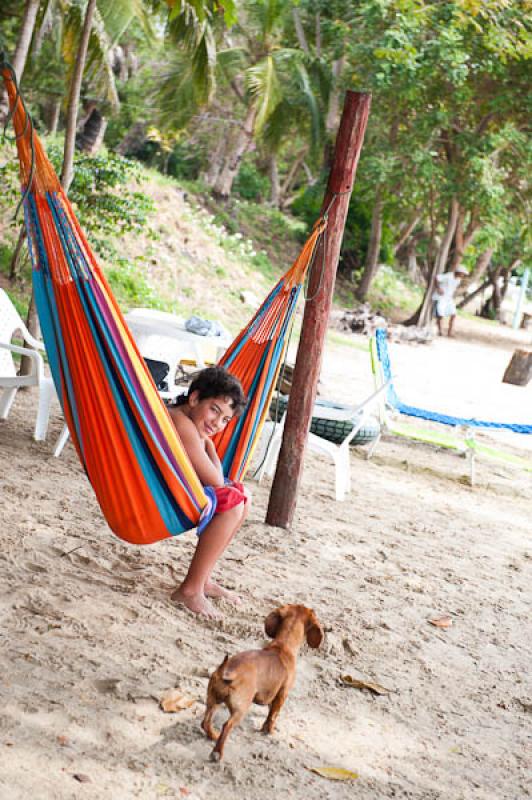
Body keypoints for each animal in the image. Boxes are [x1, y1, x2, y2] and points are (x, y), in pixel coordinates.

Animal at [201, 604, 322, 760]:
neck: (282, 645)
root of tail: (226, 671)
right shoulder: (282, 694)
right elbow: (272, 716)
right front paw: (268, 731)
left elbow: (270, 711)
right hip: (240, 708)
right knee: (226, 726)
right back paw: (217, 753)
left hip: (213, 701)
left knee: (205, 722)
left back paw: (213, 736)